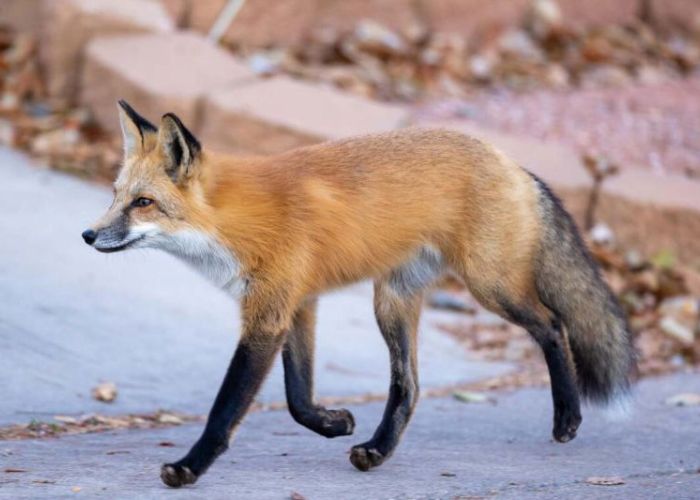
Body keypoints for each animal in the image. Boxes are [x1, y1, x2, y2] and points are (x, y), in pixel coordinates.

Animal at [82, 100, 636, 488]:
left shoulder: (268, 316)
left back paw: (568, 417)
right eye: (114, 196)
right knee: (409, 386)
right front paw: (334, 423)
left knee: (553, 325)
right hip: (391, 302)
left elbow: (225, 410)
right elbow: (297, 399)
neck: (235, 222)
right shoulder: (296, 305)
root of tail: (513, 163)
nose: (88, 236)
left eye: (143, 203)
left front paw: (189, 468)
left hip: (491, 286)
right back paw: (378, 449)